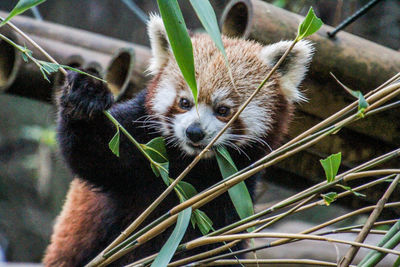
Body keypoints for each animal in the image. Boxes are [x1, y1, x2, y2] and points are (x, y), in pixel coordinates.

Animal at [43, 15, 312, 267]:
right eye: (184, 102)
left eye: (223, 110)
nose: (194, 132)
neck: (191, 166)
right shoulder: (139, 143)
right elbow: (93, 154)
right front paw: (86, 96)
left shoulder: (234, 189)